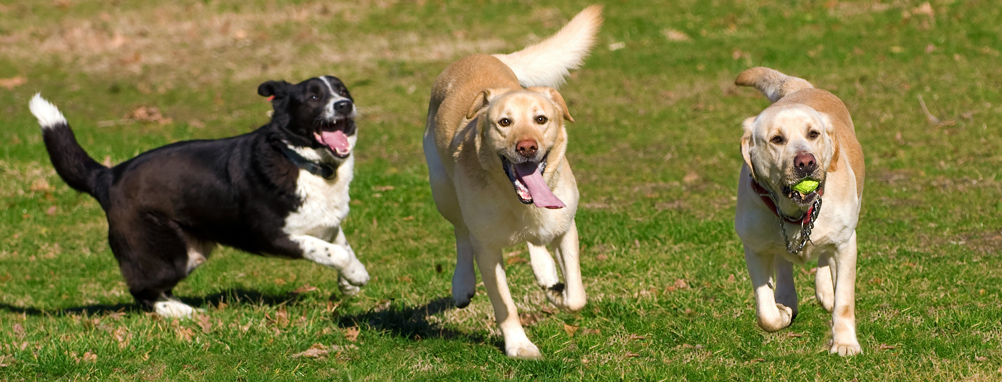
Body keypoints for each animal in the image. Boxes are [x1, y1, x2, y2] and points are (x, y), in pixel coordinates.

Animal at [29, 75, 370, 316]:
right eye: (314, 96)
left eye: (343, 90)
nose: (344, 105)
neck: (304, 161)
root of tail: (108, 176)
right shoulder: (275, 236)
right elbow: (334, 252)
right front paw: (356, 275)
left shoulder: (326, 224)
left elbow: (341, 245)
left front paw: (349, 282)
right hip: (168, 256)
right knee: (142, 290)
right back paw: (179, 311)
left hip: (192, 252)